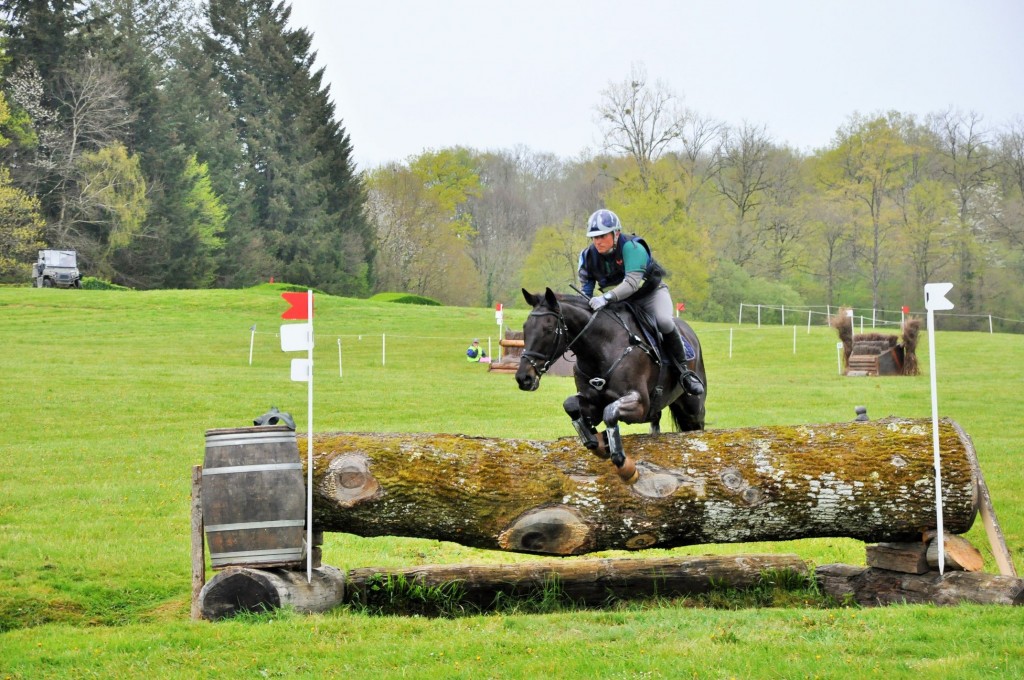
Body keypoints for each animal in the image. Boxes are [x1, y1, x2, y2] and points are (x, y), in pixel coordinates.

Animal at [516, 286, 708, 483]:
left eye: (548, 329)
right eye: (525, 327)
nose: (524, 378)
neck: (602, 348)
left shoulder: (640, 404)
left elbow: (610, 413)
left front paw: (624, 465)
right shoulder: (592, 402)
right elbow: (571, 405)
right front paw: (597, 440)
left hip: (693, 408)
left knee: (697, 426)